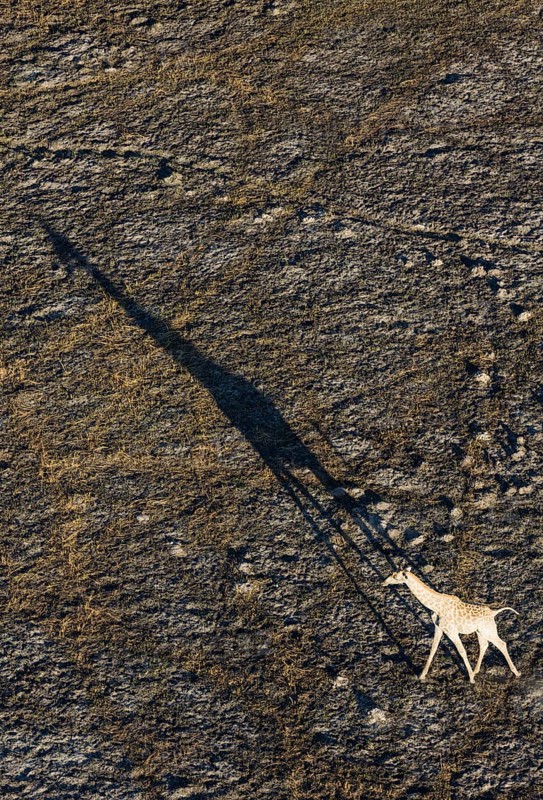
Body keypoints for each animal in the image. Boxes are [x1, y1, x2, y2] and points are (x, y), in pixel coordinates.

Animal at [383, 567, 521, 683]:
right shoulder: (438, 628)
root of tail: (493, 613)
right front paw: (422, 675)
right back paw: (476, 670)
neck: (436, 607)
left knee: (502, 644)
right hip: (480, 631)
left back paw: (516, 673)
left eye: (396, 577)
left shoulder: (452, 631)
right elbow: (433, 649)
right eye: (392, 573)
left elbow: (462, 651)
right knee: (484, 645)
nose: (384, 582)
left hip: (489, 630)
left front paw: (471, 678)